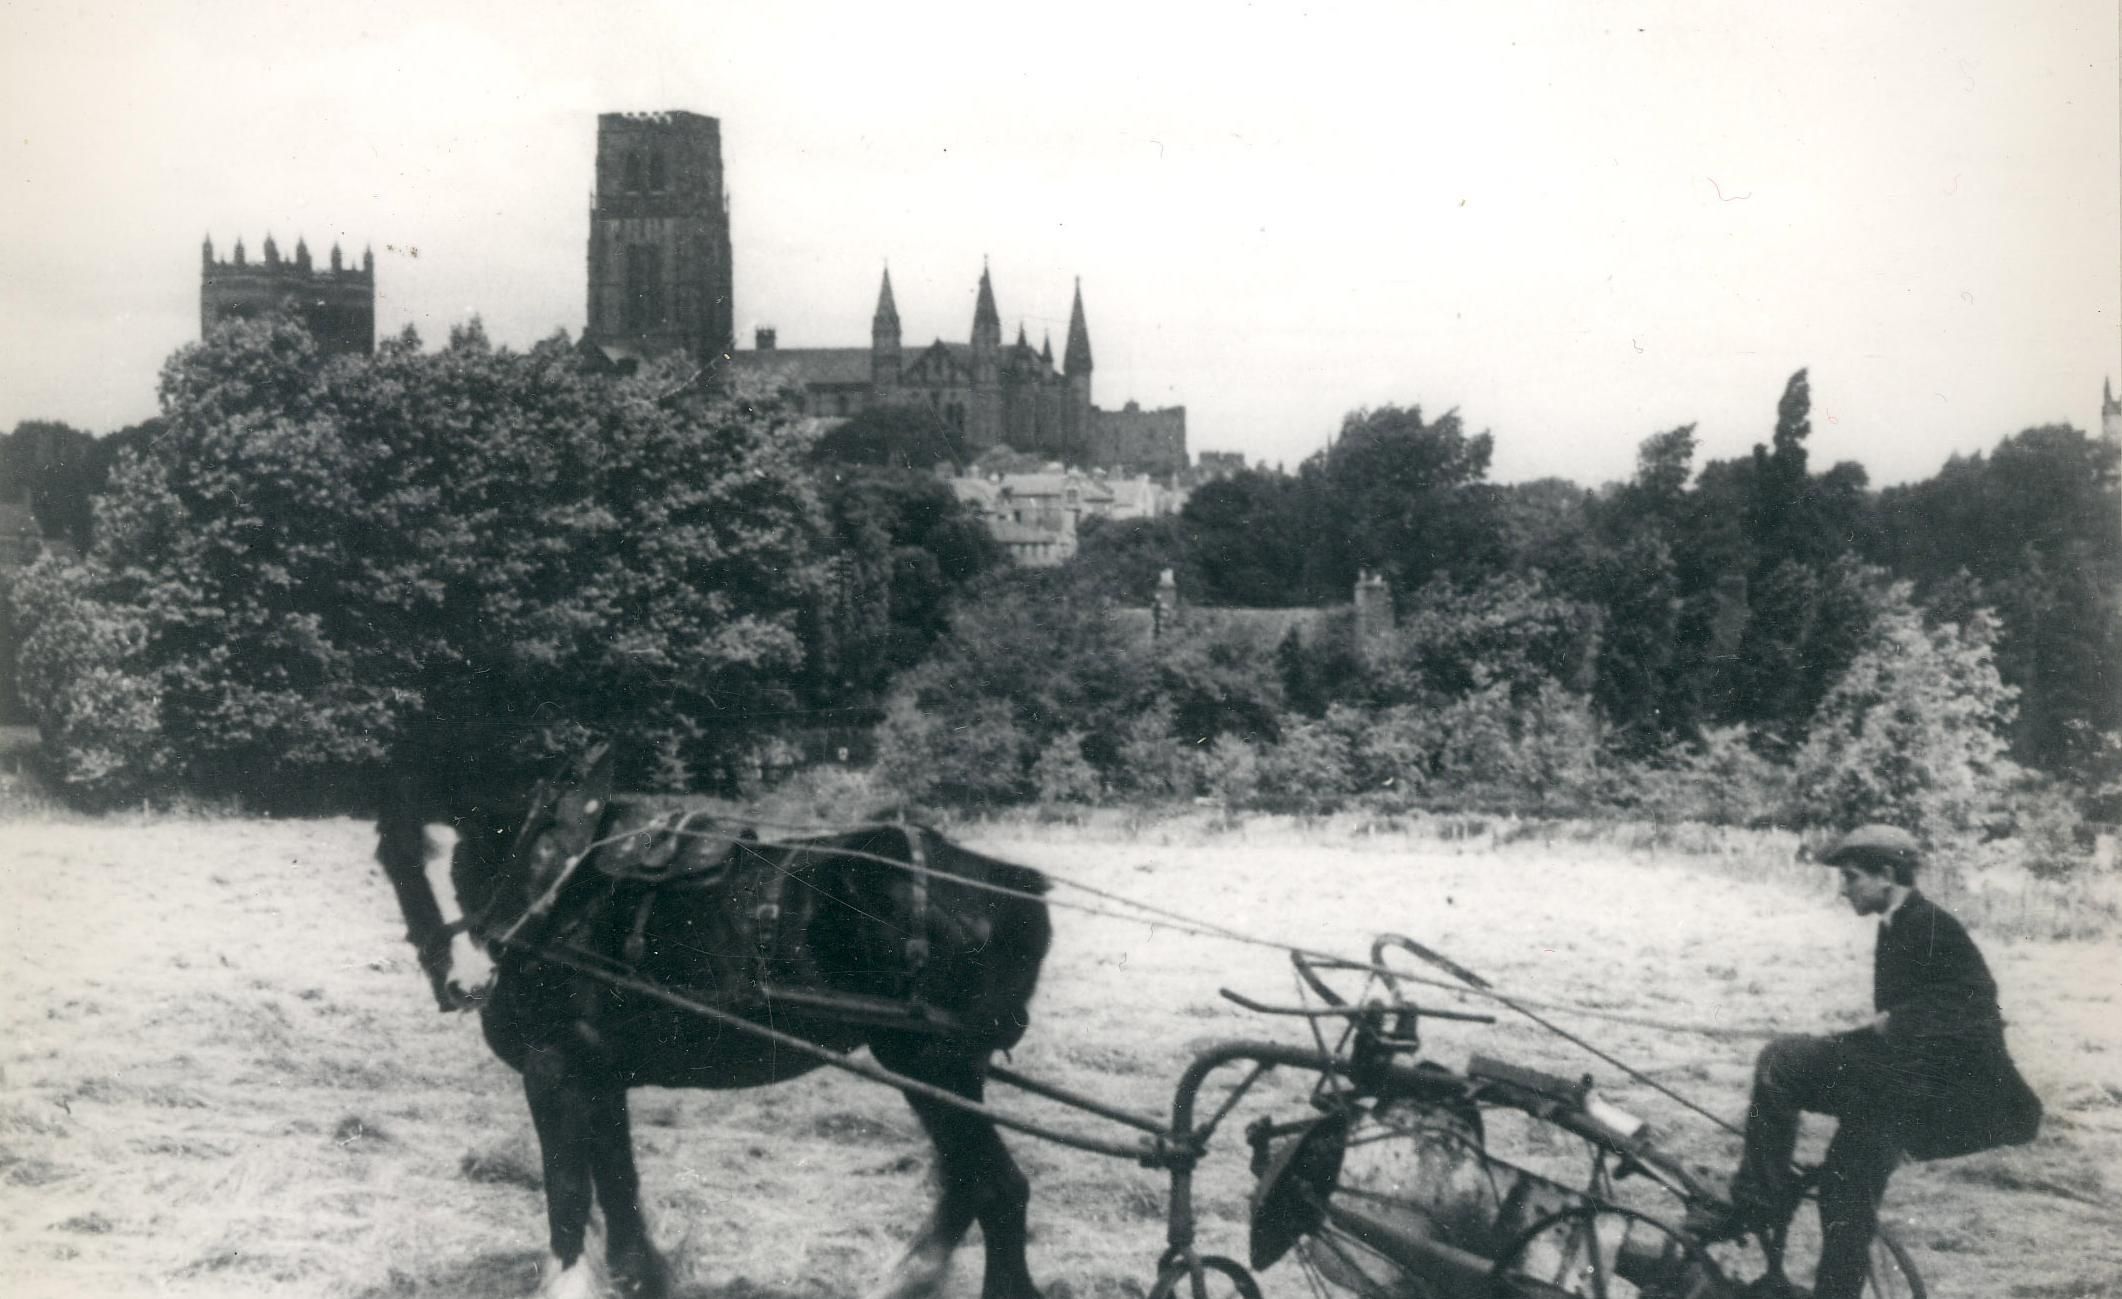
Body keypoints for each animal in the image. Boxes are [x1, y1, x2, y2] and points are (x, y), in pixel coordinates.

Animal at [377, 742, 1056, 1299]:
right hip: (940, 1071)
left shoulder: (554, 1068)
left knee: (999, 1189)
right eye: (396, 862)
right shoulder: (600, 1075)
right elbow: (618, 1185)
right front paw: (639, 1278)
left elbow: (568, 1194)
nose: (469, 982)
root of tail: (1010, 884)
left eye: (480, 847)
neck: (557, 891)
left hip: (933, 1063)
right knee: (967, 1182)